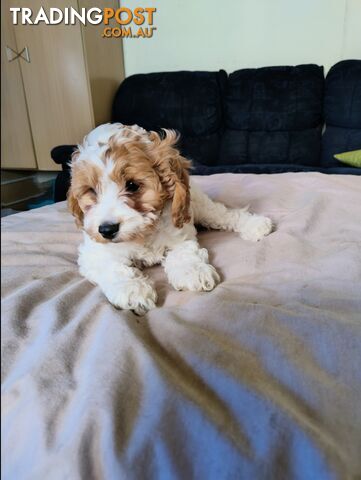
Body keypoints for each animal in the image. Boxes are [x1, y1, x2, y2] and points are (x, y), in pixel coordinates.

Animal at [67, 123, 272, 316]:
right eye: (91, 191)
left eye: (132, 185)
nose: (107, 230)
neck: (143, 233)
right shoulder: (94, 253)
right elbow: (113, 268)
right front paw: (132, 290)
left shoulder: (180, 234)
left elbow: (184, 254)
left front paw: (192, 271)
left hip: (198, 206)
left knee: (223, 214)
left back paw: (255, 225)